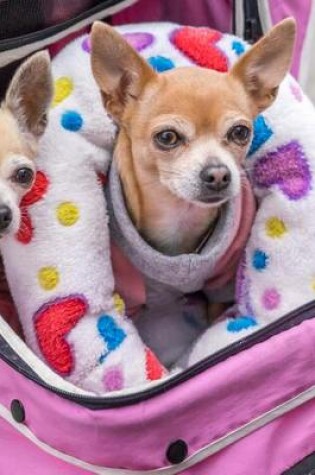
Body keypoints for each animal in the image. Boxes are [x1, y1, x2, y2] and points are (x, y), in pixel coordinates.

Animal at [90, 20, 296, 366]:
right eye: (167, 137)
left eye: (240, 132)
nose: (219, 174)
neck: (180, 217)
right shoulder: (129, 297)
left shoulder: (222, 282)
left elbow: (214, 316)